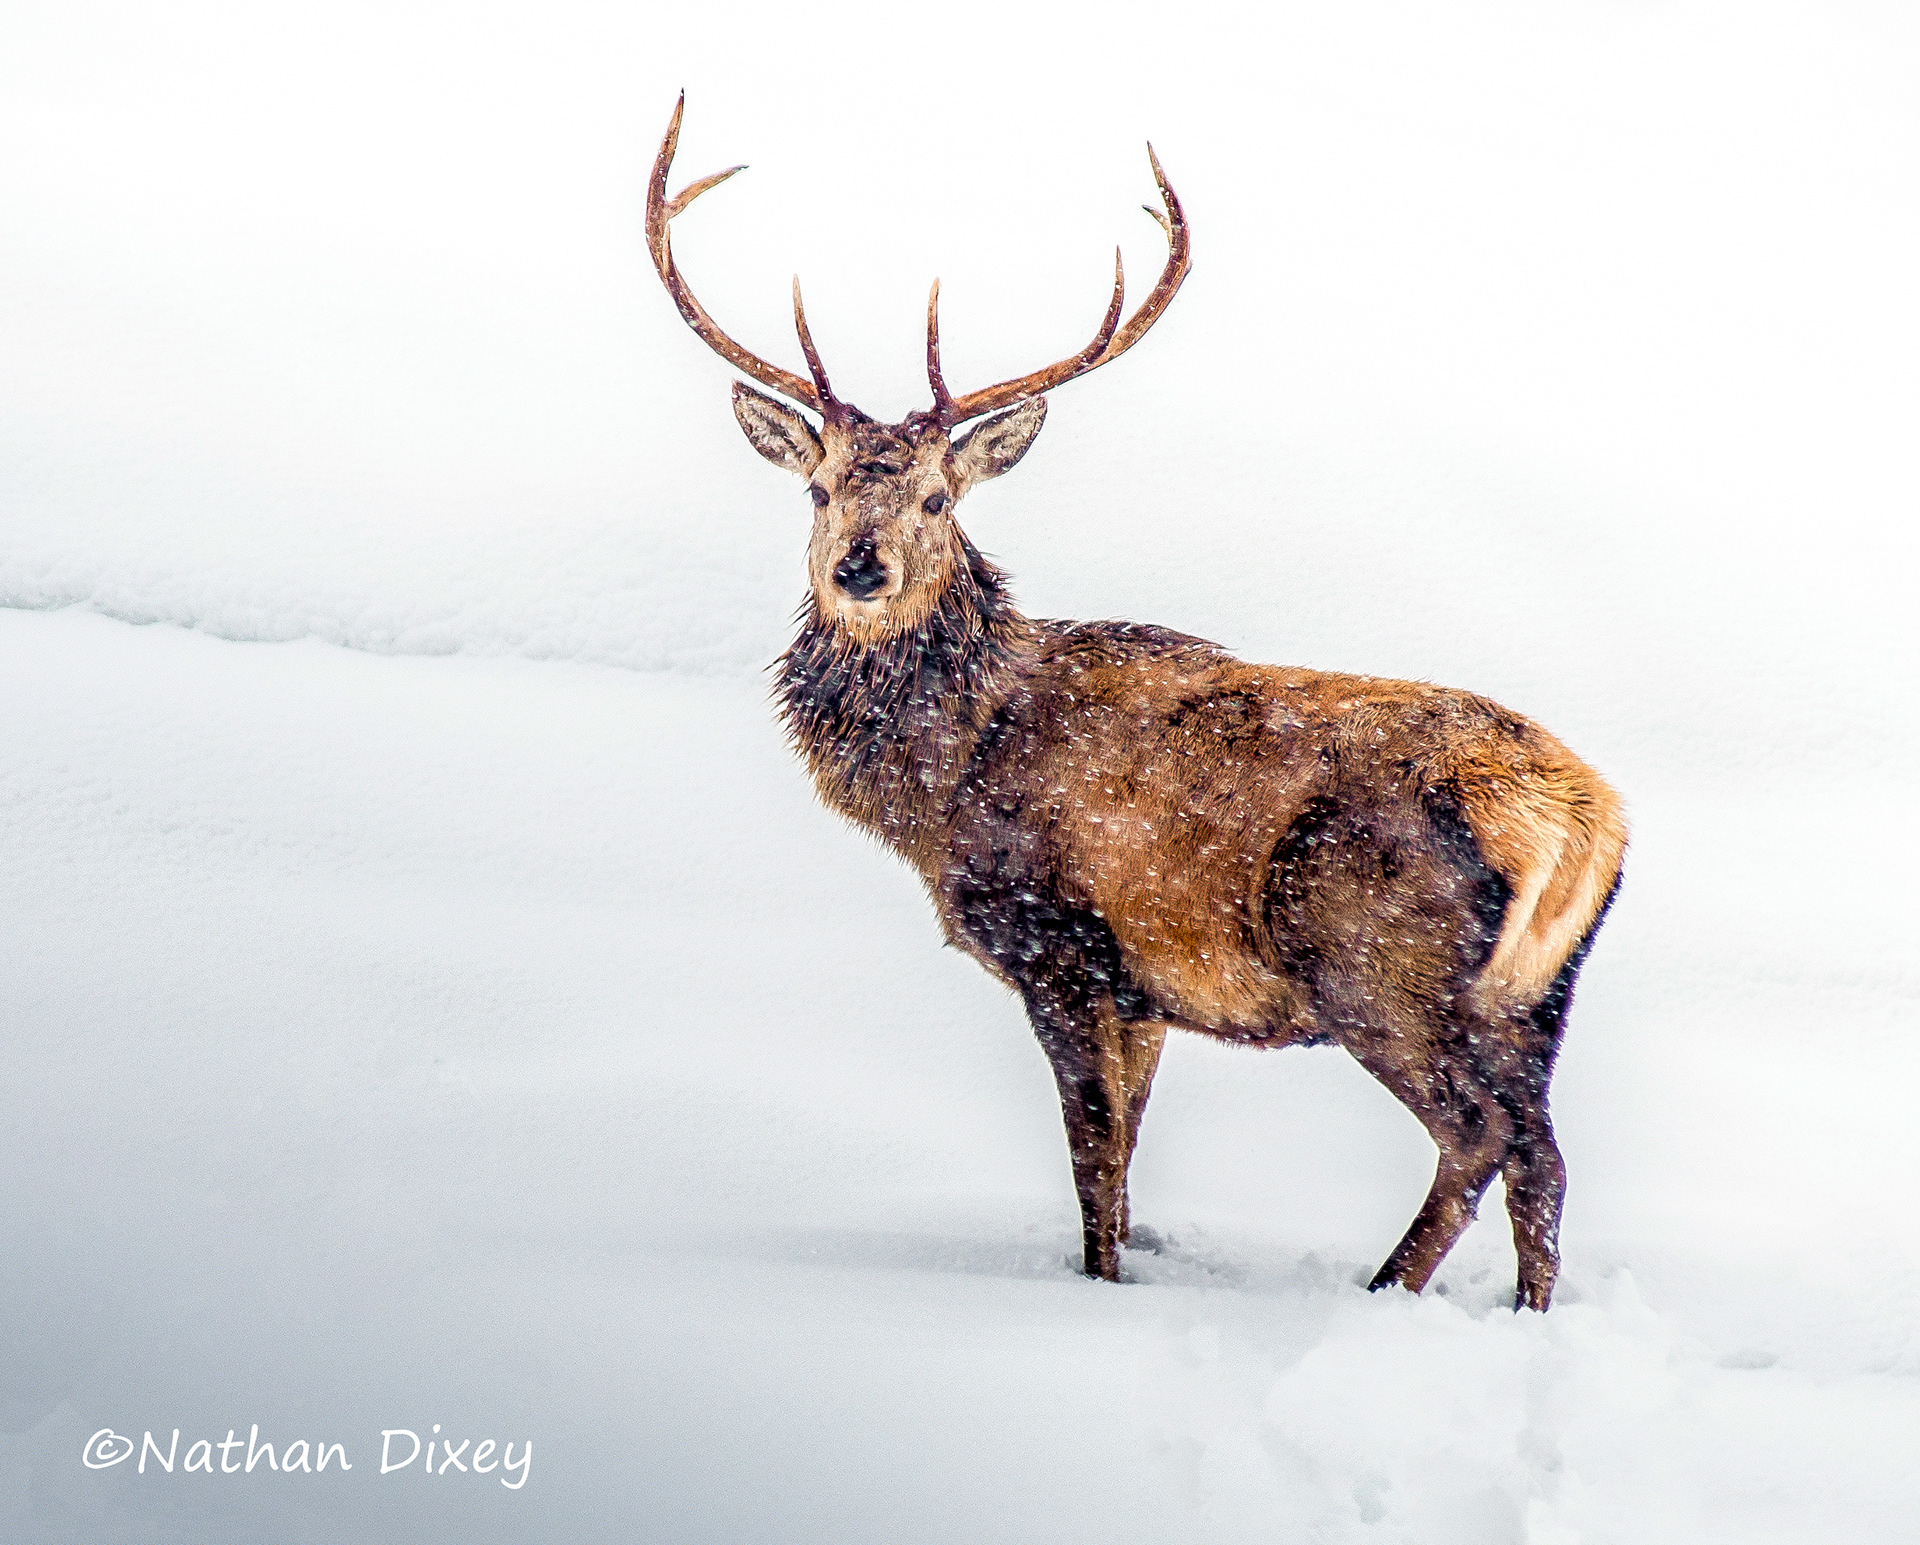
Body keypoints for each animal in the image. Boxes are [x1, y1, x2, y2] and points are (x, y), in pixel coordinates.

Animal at [644, 96, 1626, 1311]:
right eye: (818, 489)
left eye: (938, 497)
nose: (861, 568)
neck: (942, 782)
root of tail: (1584, 821)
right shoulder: (1145, 989)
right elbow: (1129, 1152)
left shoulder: (1061, 942)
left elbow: (1093, 1153)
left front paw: (1098, 1290)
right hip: (1541, 995)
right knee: (1544, 1153)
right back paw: (1523, 1316)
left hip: (1380, 961)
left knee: (1479, 1137)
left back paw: (1382, 1291)